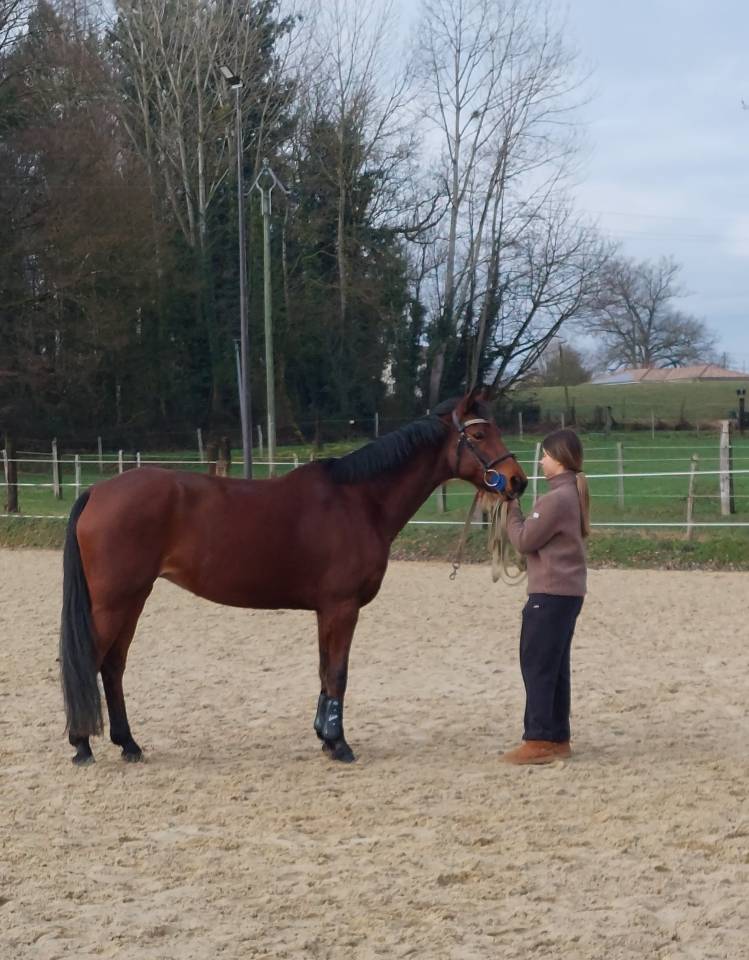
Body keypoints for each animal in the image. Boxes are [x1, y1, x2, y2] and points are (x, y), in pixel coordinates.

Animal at [59, 386, 528, 766]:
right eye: (480, 435)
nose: (518, 481)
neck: (359, 500)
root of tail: (97, 491)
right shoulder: (342, 607)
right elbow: (337, 673)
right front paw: (339, 745)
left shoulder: (326, 610)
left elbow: (324, 671)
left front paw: (324, 736)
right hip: (113, 602)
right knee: (90, 661)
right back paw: (82, 745)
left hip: (133, 599)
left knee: (113, 666)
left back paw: (128, 744)